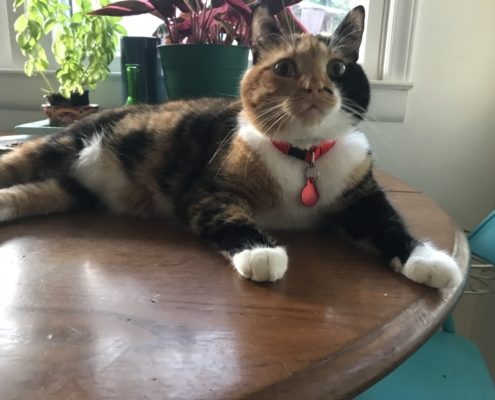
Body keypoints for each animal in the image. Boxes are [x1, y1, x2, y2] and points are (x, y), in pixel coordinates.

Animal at [0, 5, 462, 288]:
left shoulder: (361, 194)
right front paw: (262, 253)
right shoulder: (208, 190)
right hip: (61, 147)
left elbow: (390, 223)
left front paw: (429, 261)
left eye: (338, 68)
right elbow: (228, 216)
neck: (303, 157)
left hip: (74, 191)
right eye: (285, 68)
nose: (317, 88)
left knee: (31, 194)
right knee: (16, 167)